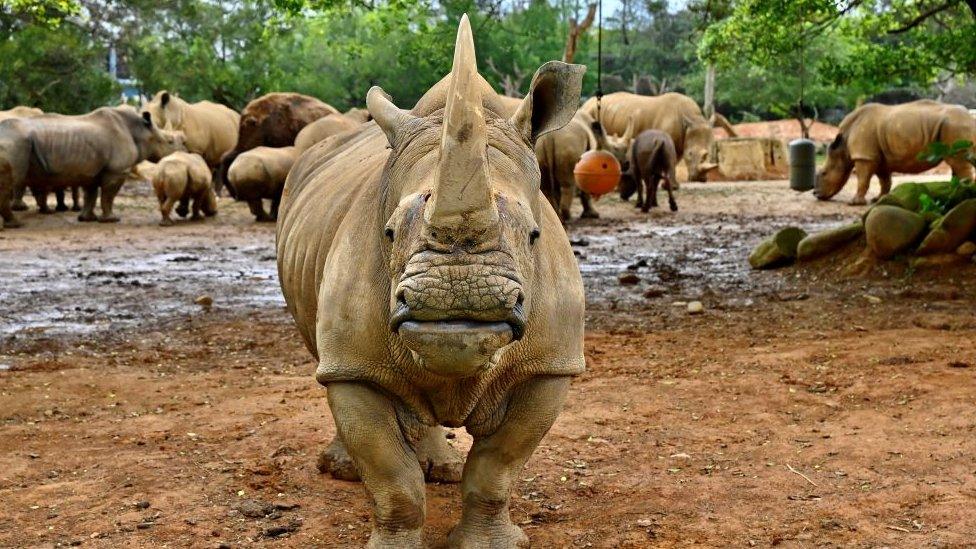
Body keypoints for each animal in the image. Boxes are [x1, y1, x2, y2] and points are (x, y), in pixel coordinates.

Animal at [0, 106, 185, 228]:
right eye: (169, 141)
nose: (183, 150)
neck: (139, 130)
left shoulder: (91, 171)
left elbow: (91, 194)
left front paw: (86, 218)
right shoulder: (116, 171)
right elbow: (108, 196)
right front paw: (111, 220)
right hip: (14, 144)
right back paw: (15, 224)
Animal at [812, 99, 972, 204]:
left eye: (824, 173)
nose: (815, 194)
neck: (843, 147)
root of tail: (970, 116)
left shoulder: (864, 156)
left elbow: (863, 179)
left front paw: (854, 202)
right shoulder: (878, 157)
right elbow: (884, 180)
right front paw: (879, 199)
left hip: (954, 126)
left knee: (958, 161)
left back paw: (963, 196)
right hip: (955, 126)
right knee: (959, 162)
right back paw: (954, 195)